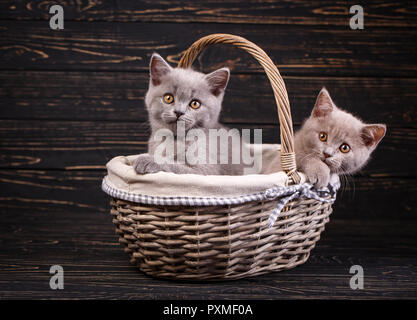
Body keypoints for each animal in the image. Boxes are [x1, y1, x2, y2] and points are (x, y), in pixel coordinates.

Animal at [135, 52, 386, 188]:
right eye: (168, 98)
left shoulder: (207, 172)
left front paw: (147, 160)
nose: (178, 112)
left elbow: (177, 168)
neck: (175, 140)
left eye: (194, 104)